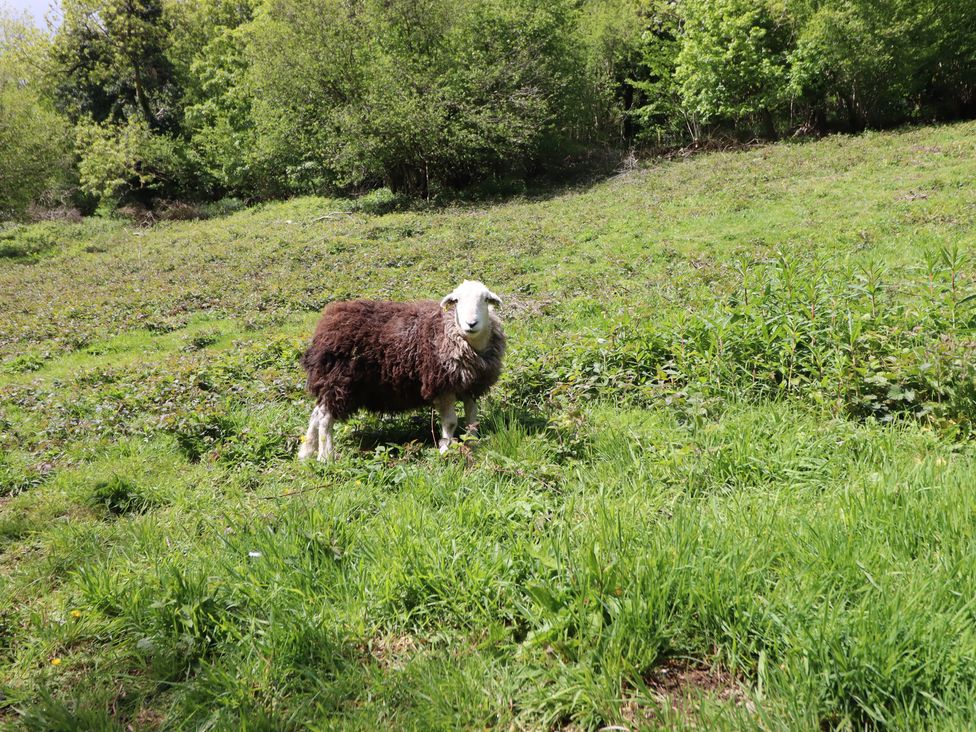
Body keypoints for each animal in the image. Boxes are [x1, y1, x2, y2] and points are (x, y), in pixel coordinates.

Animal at [298, 280, 505, 461]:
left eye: (485, 299)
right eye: (456, 301)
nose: (471, 324)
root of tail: (325, 326)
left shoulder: (471, 383)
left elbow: (472, 417)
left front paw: (473, 443)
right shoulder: (443, 385)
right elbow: (451, 422)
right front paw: (445, 450)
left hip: (330, 382)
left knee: (316, 413)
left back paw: (306, 451)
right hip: (339, 381)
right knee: (325, 418)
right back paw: (325, 457)